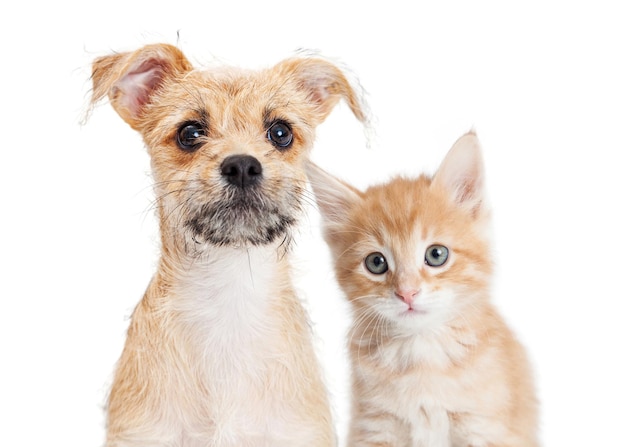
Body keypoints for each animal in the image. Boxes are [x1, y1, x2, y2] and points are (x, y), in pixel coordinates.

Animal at [306, 131, 536, 446]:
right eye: (376, 262)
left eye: (436, 255)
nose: (407, 293)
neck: (421, 356)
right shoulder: (373, 427)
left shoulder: (484, 427)